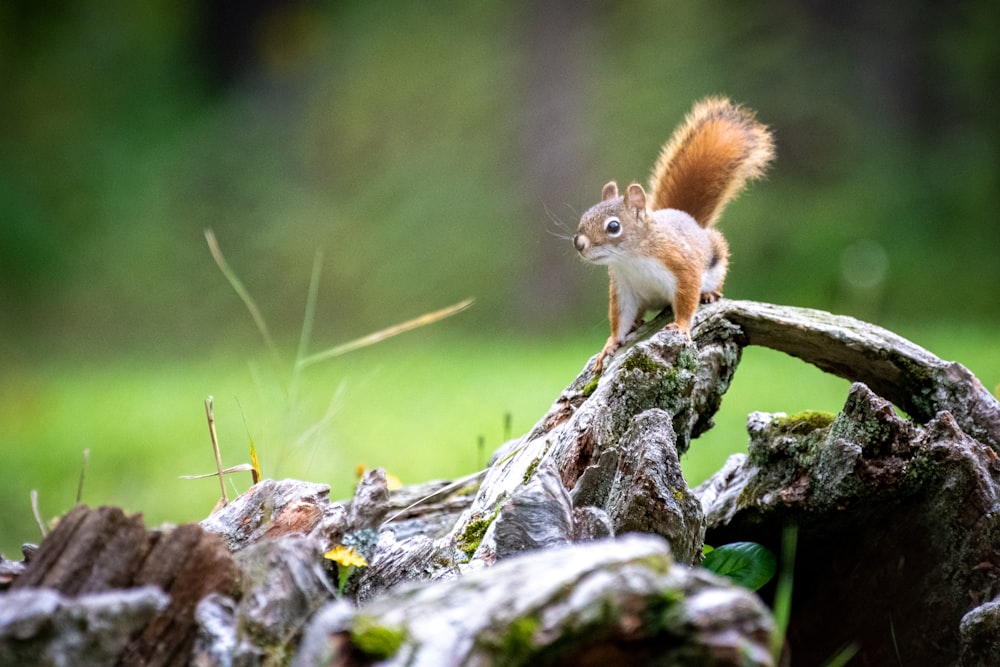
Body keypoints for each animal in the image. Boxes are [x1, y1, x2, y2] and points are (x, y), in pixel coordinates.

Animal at [572, 96, 772, 374]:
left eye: (613, 226)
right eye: (584, 216)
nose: (578, 243)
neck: (632, 258)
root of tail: (689, 219)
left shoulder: (681, 265)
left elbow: (687, 298)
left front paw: (681, 326)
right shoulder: (624, 288)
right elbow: (620, 318)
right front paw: (609, 345)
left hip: (716, 257)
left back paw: (709, 294)